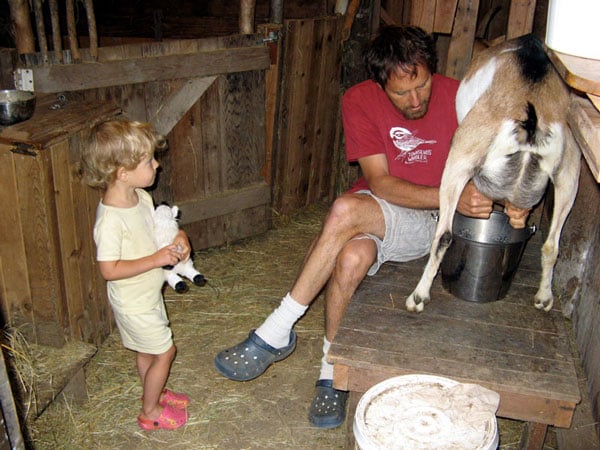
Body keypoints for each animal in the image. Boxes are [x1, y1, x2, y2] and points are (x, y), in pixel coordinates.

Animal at [406, 33, 580, 312]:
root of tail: (531, 124)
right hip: (569, 172)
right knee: (552, 245)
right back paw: (544, 298)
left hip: (460, 158)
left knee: (444, 235)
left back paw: (418, 297)